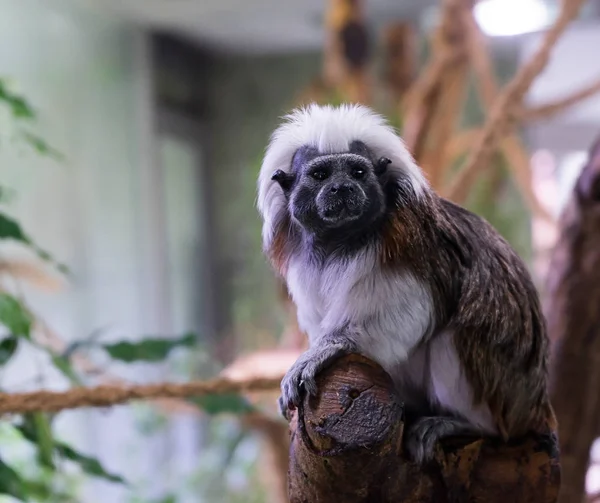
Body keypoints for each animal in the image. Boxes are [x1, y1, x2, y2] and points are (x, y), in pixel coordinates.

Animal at [255, 102, 556, 464]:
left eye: (357, 172)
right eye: (321, 175)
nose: (342, 188)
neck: (340, 243)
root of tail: (536, 406)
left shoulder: (411, 243)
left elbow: (407, 315)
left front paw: (331, 348)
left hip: (507, 393)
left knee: (457, 331)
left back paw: (466, 423)